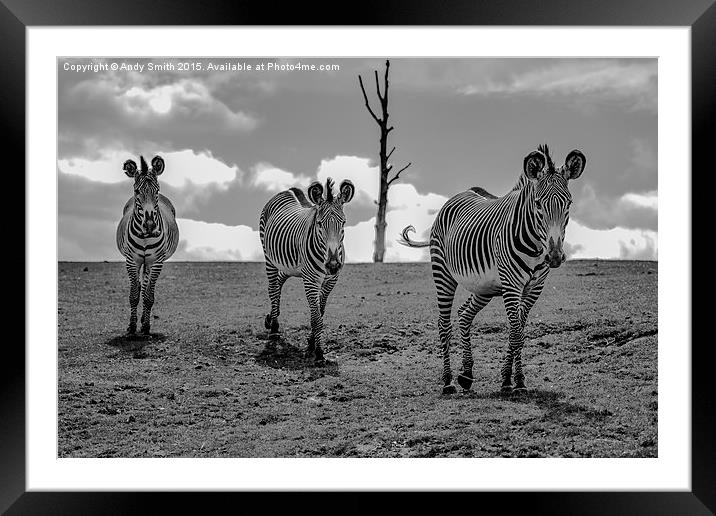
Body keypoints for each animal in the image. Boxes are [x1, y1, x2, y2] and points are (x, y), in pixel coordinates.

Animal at [116, 155, 179, 336]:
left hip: (149, 262)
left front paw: (145, 327)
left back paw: (144, 319)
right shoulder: (132, 260)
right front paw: (131, 327)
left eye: (156, 191)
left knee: (145, 288)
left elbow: (149, 296)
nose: (150, 226)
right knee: (139, 287)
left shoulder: (156, 262)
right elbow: (134, 295)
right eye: (137, 191)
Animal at [260, 177, 356, 362]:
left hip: (291, 266)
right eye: (319, 223)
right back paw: (274, 328)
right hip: (269, 257)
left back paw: (271, 319)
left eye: (343, 223)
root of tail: (288, 190)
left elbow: (319, 312)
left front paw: (311, 343)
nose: (333, 265)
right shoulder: (311, 280)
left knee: (279, 281)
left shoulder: (331, 281)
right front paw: (318, 352)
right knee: (273, 288)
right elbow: (316, 318)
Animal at [400, 145, 584, 396]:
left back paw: (466, 374)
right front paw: (515, 381)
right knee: (444, 324)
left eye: (569, 204)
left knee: (464, 314)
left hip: (484, 287)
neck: (536, 246)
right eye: (538, 204)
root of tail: (460, 194)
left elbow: (518, 331)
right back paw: (448, 381)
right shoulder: (511, 286)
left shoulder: (534, 288)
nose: (554, 256)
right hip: (443, 273)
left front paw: (511, 379)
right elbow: (516, 334)